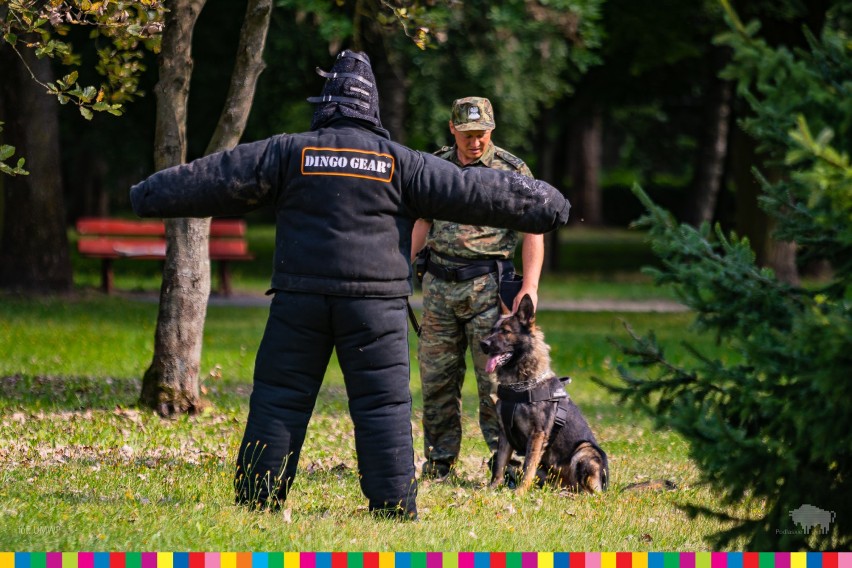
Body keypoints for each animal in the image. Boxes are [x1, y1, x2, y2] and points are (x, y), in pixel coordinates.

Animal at [482, 296, 608, 494]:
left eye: (506, 331)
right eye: (492, 331)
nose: (483, 344)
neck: (520, 386)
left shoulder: (537, 434)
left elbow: (528, 466)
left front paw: (520, 492)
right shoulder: (505, 434)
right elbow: (500, 464)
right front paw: (493, 488)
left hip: (585, 450)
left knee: (591, 492)